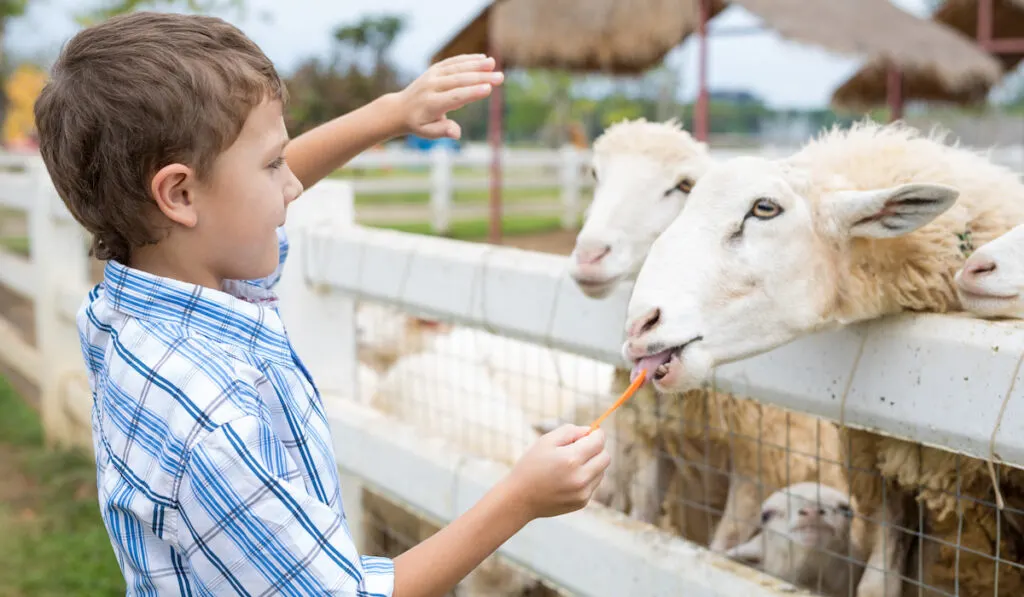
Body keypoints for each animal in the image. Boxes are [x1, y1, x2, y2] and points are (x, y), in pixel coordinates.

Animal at [561, 117, 847, 557]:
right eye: (595, 174)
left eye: (683, 185)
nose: (590, 256)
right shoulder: (654, 447)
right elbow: (641, 518)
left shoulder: (758, 467)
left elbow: (720, 549)